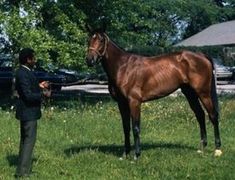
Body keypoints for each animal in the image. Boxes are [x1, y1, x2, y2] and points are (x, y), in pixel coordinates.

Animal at [85, 30, 221, 159]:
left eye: (101, 40)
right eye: (89, 39)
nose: (89, 60)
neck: (123, 67)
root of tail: (201, 55)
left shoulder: (134, 102)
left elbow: (135, 127)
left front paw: (136, 155)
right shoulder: (121, 103)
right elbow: (126, 128)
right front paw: (125, 154)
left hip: (203, 93)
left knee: (213, 115)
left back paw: (217, 149)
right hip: (190, 93)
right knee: (200, 115)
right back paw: (202, 147)